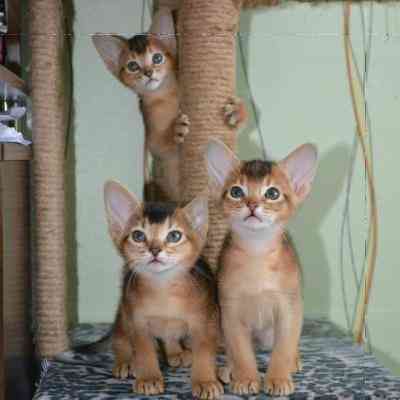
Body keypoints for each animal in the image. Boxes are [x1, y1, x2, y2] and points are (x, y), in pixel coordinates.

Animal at [93, 8, 247, 203]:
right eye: (132, 66)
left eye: (157, 57)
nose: (148, 73)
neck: (168, 95)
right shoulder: (151, 135)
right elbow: (161, 144)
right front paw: (175, 130)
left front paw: (238, 111)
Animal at [103, 180, 223, 398]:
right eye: (138, 235)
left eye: (174, 235)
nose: (155, 250)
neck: (163, 290)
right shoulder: (137, 321)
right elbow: (144, 351)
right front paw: (149, 377)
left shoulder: (206, 321)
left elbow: (204, 352)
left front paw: (205, 381)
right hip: (124, 312)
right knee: (120, 337)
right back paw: (126, 362)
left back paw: (177, 352)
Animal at [205, 139, 318, 396]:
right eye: (237, 191)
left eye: (272, 193)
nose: (252, 205)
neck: (256, 253)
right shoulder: (230, 311)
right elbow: (241, 351)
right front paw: (246, 378)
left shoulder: (289, 308)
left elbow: (283, 348)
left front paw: (278, 378)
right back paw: (229, 369)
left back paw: (293, 361)